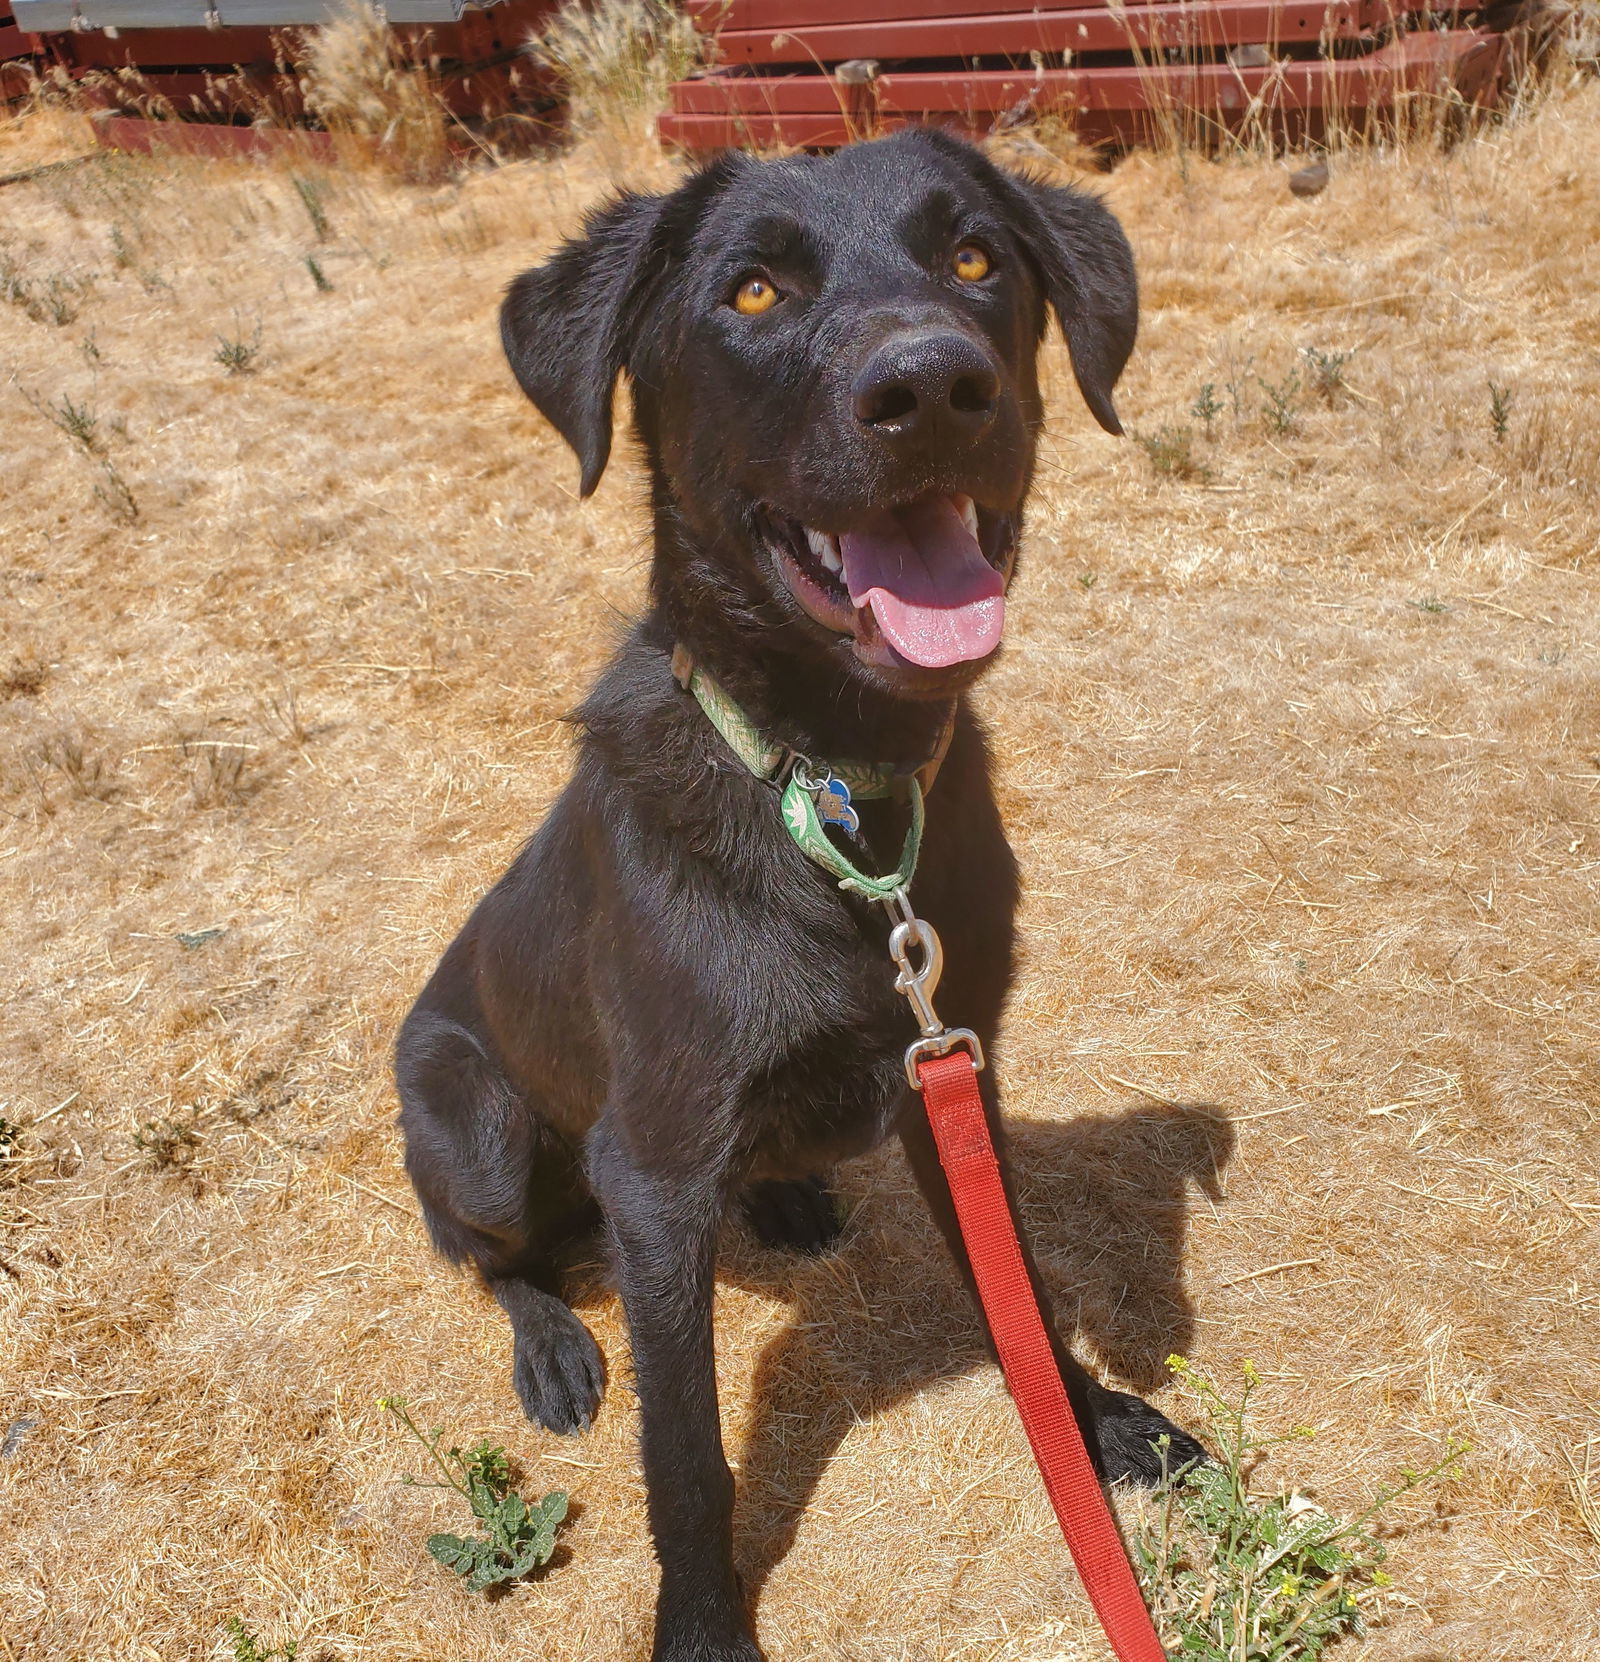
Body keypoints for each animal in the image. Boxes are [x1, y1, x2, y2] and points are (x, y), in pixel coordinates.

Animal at [397, 132, 1202, 1662]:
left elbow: (1022, 1293)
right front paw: (703, 1623)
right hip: (475, 1117)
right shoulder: (652, 1180)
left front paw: (1098, 1423)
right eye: (754, 291)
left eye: (975, 258)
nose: (933, 388)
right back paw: (552, 1339)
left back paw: (783, 1200)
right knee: (483, 1249)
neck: (835, 795)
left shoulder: (954, 1066)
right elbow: (688, 1457)